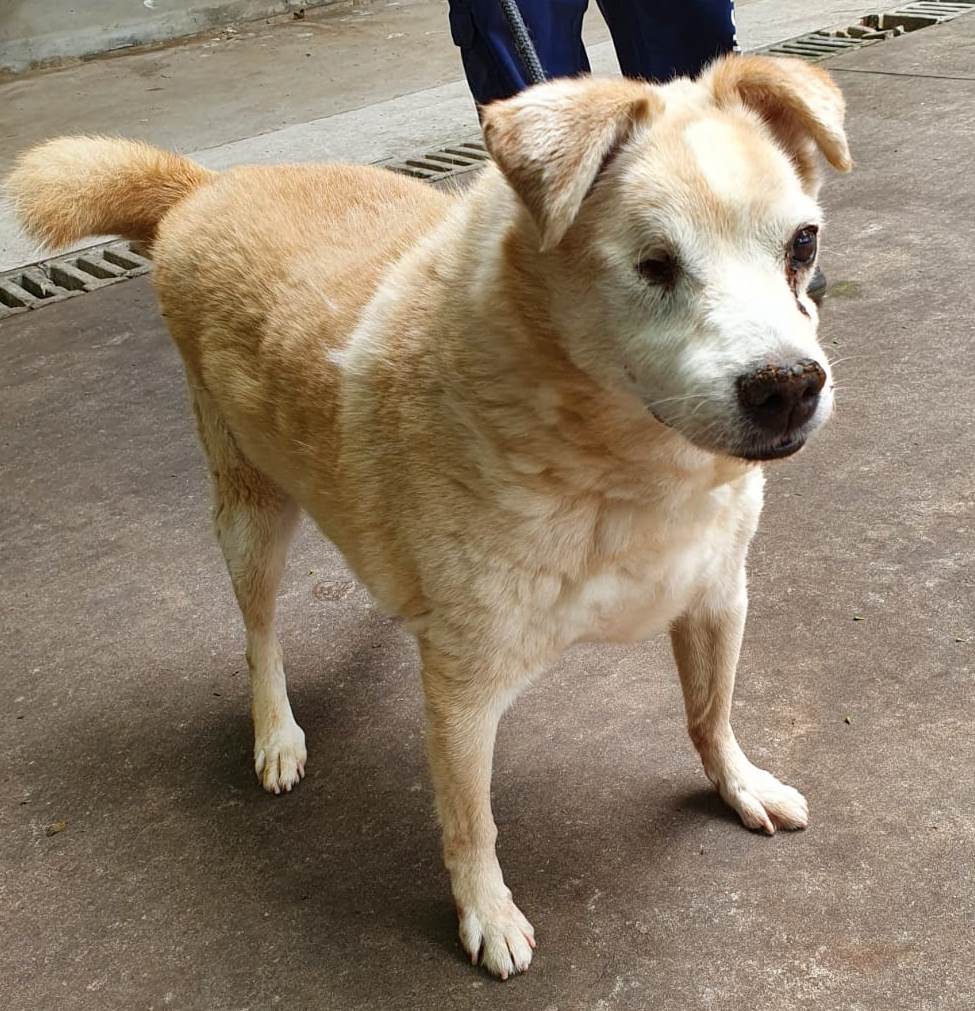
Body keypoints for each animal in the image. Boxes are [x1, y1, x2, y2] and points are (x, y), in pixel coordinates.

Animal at [5, 55, 845, 978]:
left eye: (801, 245)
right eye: (655, 265)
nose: (789, 388)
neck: (620, 467)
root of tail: (206, 187)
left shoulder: (715, 597)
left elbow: (709, 714)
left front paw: (737, 784)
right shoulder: (463, 691)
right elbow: (471, 821)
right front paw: (486, 912)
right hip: (250, 514)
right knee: (259, 635)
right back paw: (275, 732)